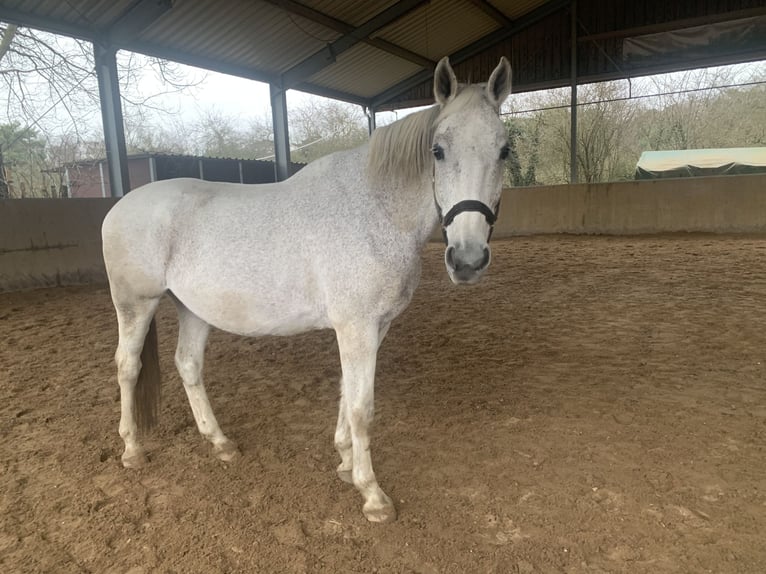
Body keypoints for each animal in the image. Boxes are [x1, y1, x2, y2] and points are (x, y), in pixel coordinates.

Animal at [101, 56, 513, 523]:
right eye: (438, 151)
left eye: (504, 150)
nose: (467, 260)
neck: (373, 210)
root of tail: (119, 207)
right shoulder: (357, 328)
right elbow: (362, 407)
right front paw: (372, 495)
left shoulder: (374, 328)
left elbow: (346, 394)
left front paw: (345, 463)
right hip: (135, 304)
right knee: (127, 367)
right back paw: (133, 450)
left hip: (193, 309)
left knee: (188, 365)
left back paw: (220, 443)